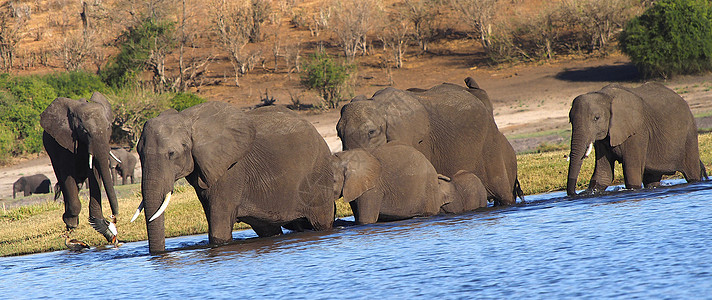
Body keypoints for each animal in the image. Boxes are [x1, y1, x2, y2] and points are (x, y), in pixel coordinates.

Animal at [40, 92, 119, 245]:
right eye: (85, 131)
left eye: (108, 128)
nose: (113, 216)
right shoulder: (64, 143)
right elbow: (67, 174)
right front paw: (71, 224)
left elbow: (95, 173)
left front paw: (98, 224)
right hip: (51, 151)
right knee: (64, 182)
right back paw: (69, 222)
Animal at [136, 101, 336, 253]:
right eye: (139, 153)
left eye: (172, 154)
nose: (159, 254)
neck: (188, 120)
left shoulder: (230, 171)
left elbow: (219, 229)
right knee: (269, 230)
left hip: (318, 178)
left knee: (321, 222)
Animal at [568, 82, 708, 197]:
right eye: (570, 121)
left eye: (596, 118)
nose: (575, 194)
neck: (605, 96)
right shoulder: (604, 137)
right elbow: (603, 175)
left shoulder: (638, 132)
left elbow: (632, 173)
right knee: (652, 179)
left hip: (689, 135)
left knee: (692, 173)